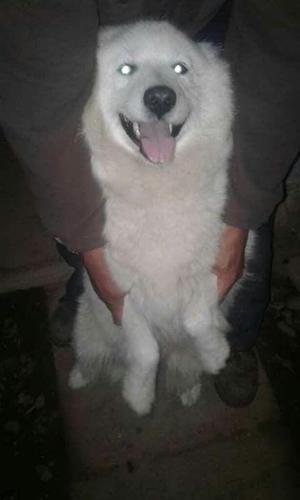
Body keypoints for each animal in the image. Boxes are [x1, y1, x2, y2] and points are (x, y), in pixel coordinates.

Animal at [69, 21, 233, 416]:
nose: (160, 98)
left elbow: (197, 319)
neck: (158, 187)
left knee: (183, 366)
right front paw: (140, 396)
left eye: (180, 68)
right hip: (87, 328)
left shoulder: (214, 268)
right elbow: (145, 352)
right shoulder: (118, 292)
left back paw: (189, 388)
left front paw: (216, 354)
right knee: (90, 356)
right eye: (127, 69)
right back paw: (78, 376)